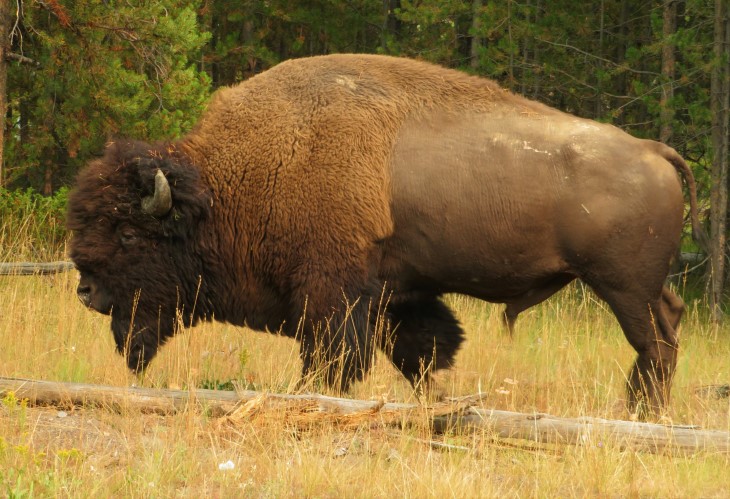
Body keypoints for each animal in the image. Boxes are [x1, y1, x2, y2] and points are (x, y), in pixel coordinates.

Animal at [68, 52, 700, 418]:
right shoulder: (396, 294)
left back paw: (642, 414)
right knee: (667, 326)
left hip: (622, 286)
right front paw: (436, 403)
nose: (86, 292)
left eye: (128, 236)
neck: (228, 184)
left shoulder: (333, 290)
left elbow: (333, 359)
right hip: (639, 287)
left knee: (656, 341)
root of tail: (654, 150)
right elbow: (422, 350)